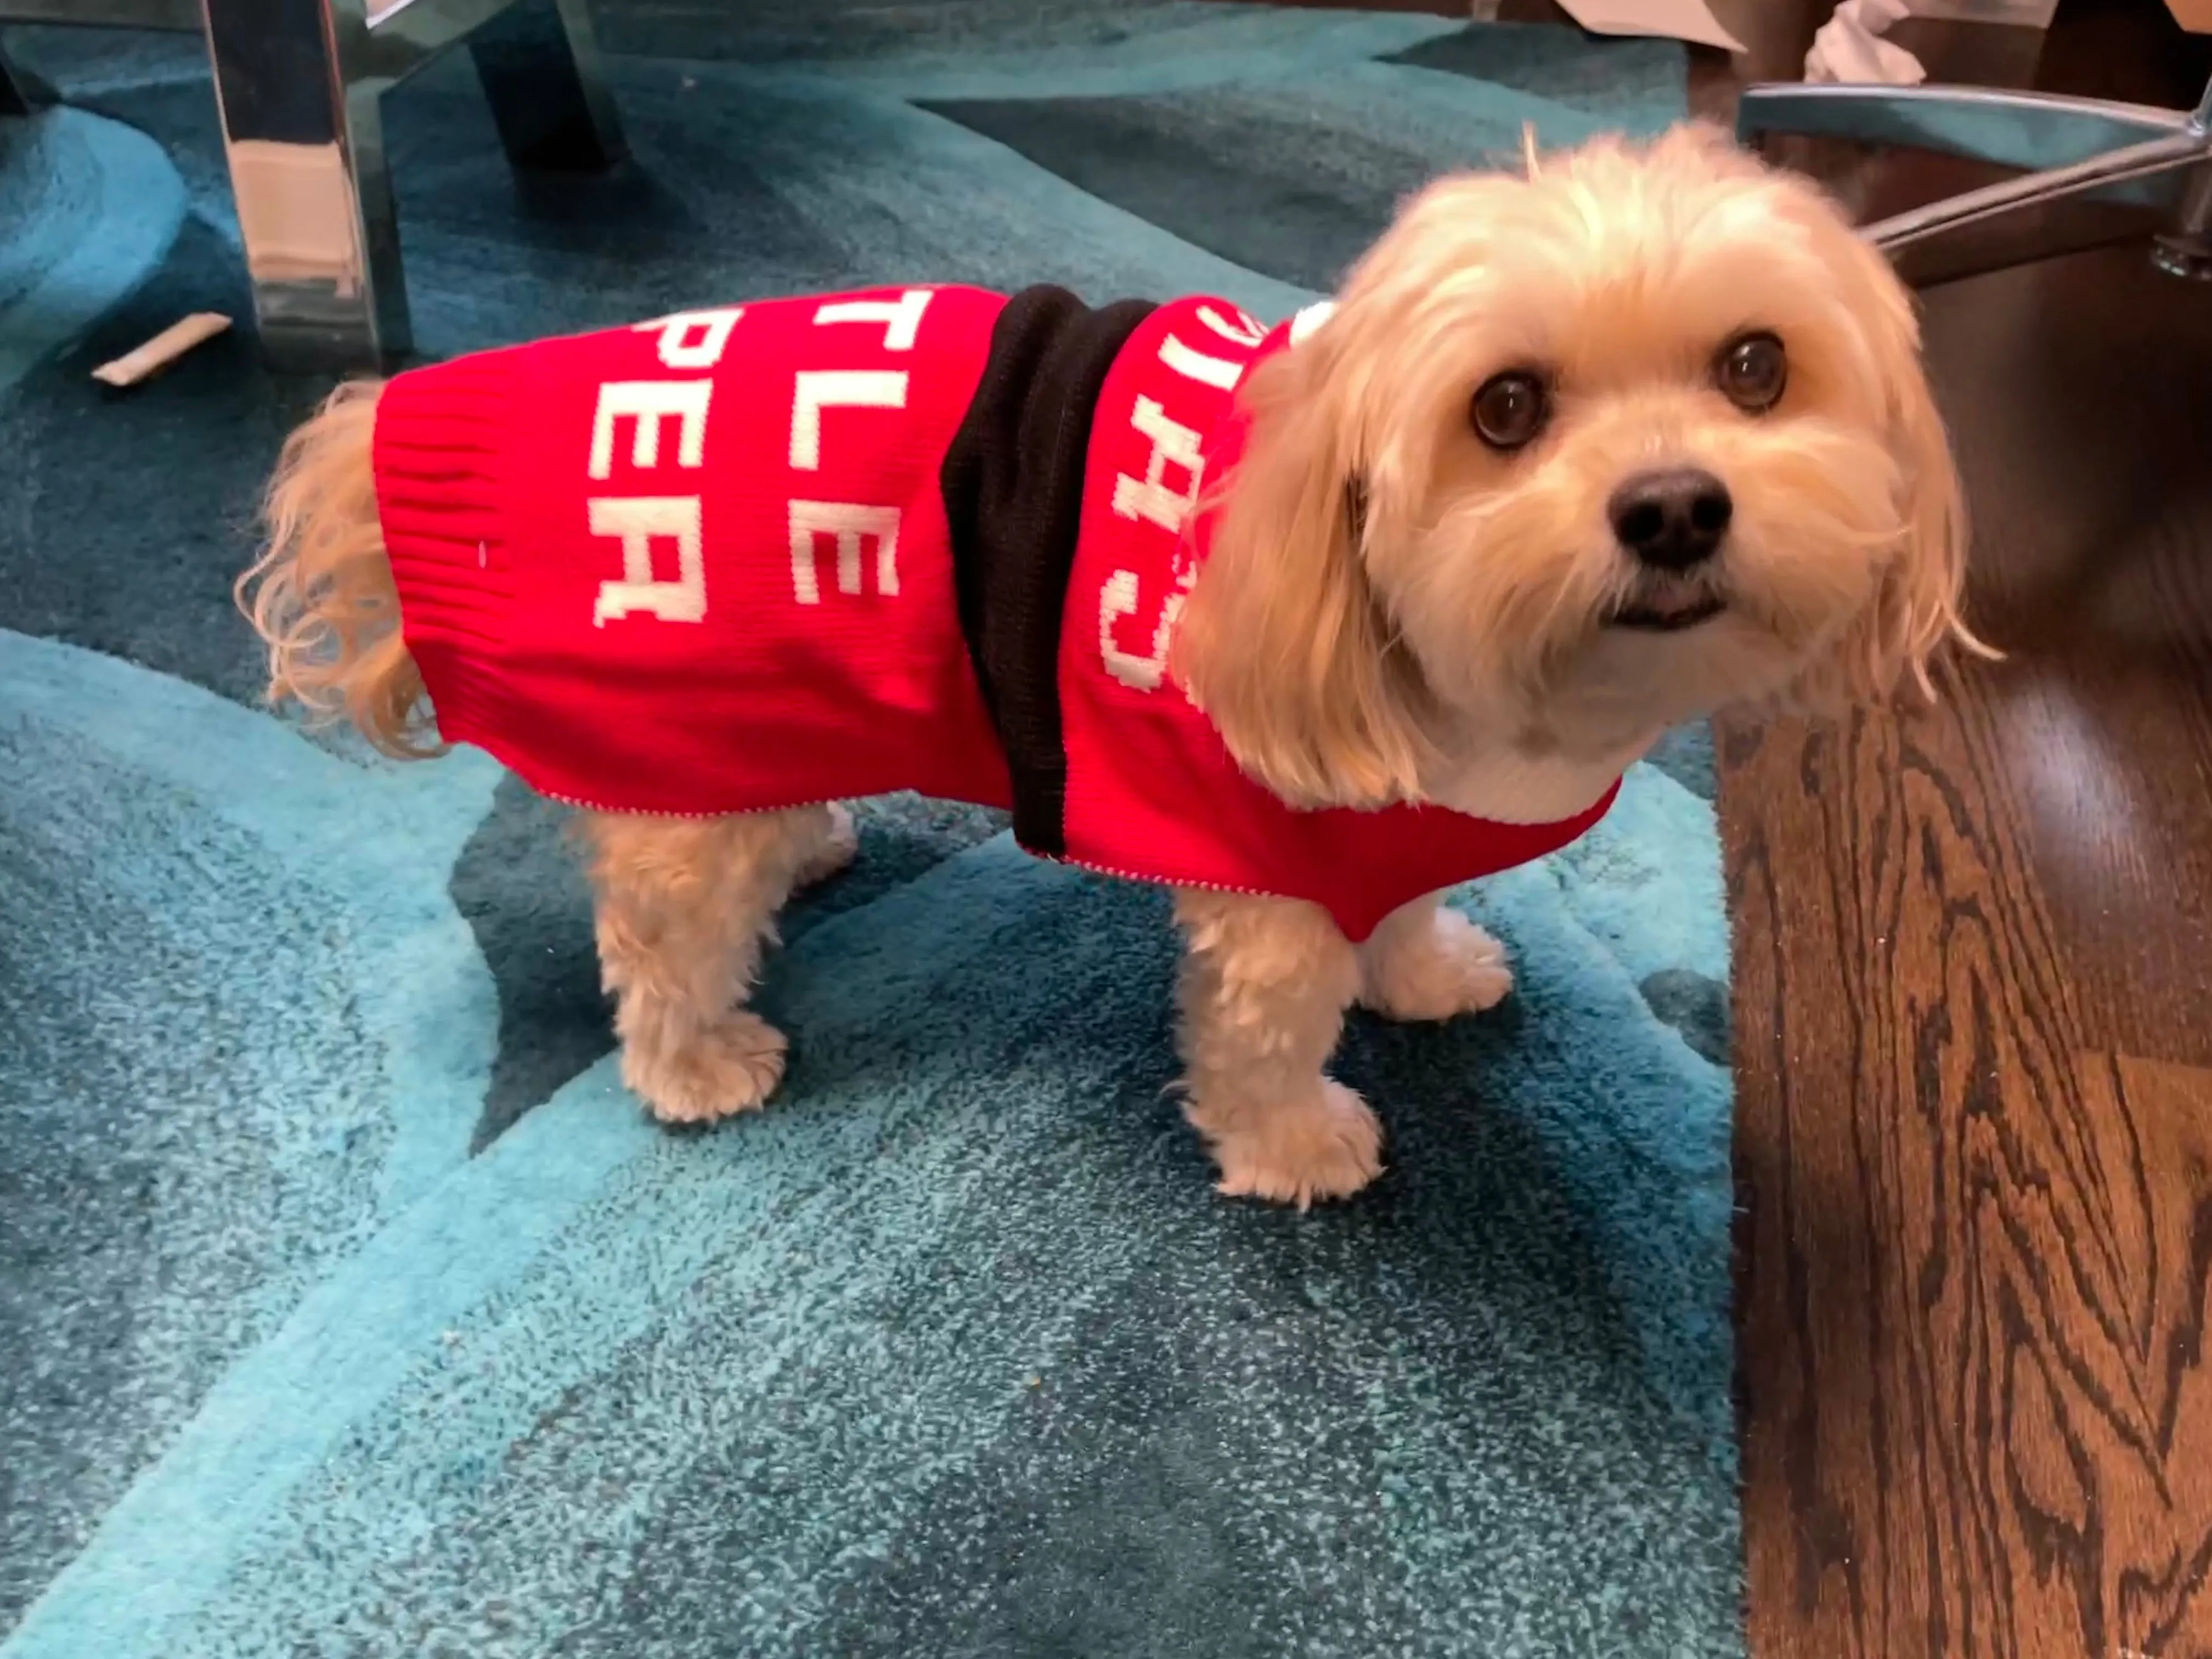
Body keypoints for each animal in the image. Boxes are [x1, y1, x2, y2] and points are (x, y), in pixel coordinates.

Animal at [242, 120, 1990, 1212]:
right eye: (1505, 410)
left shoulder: (1388, 821)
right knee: (662, 942)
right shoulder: (1266, 875)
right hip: (682, 755)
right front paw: (1298, 1141)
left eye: (1756, 368)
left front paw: (1425, 970)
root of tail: (436, 422)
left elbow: (1405, 900)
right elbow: (1268, 1030)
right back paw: (700, 1062)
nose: (1677, 508)